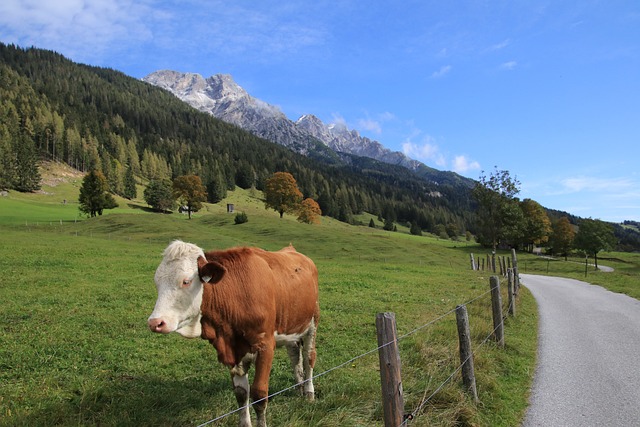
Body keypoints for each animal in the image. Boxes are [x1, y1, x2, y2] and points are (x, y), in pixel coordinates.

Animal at [146, 241, 318, 427]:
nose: (155, 322)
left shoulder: (265, 346)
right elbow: (241, 394)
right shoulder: (234, 349)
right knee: (295, 356)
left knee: (309, 358)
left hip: (312, 323)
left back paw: (309, 392)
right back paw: (299, 387)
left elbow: (259, 395)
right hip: (291, 328)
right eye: (157, 282)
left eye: (186, 281)